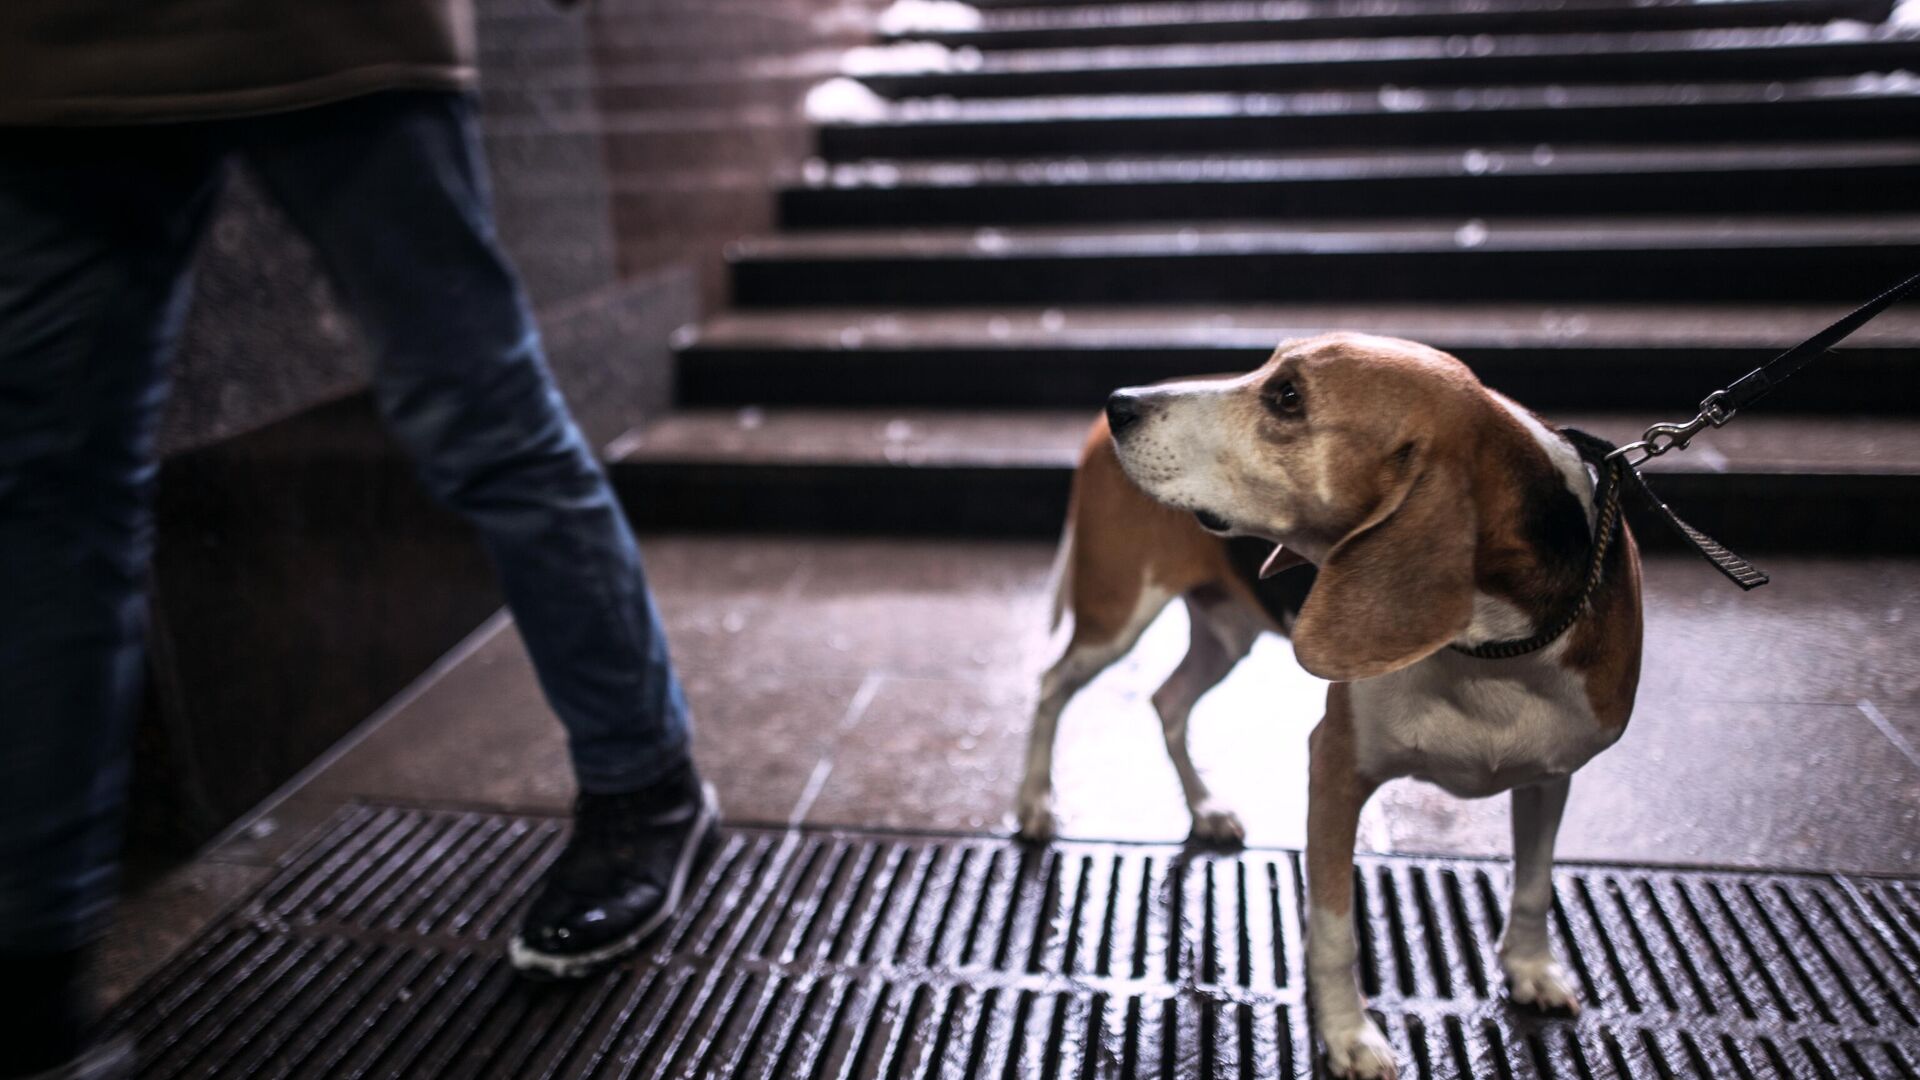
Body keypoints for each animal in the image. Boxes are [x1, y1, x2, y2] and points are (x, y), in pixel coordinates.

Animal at [1013, 332, 1643, 1068]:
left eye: (1288, 397)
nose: (1121, 405)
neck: (1490, 656)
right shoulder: (1337, 768)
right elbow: (1336, 933)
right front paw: (1348, 1036)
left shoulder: (1552, 773)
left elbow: (1536, 884)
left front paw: (1531, 969)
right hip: (1115, 614)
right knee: (1051, 687)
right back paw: (1035, 804)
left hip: (1227, 630)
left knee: (1169, 702)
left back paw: (1205, 808)